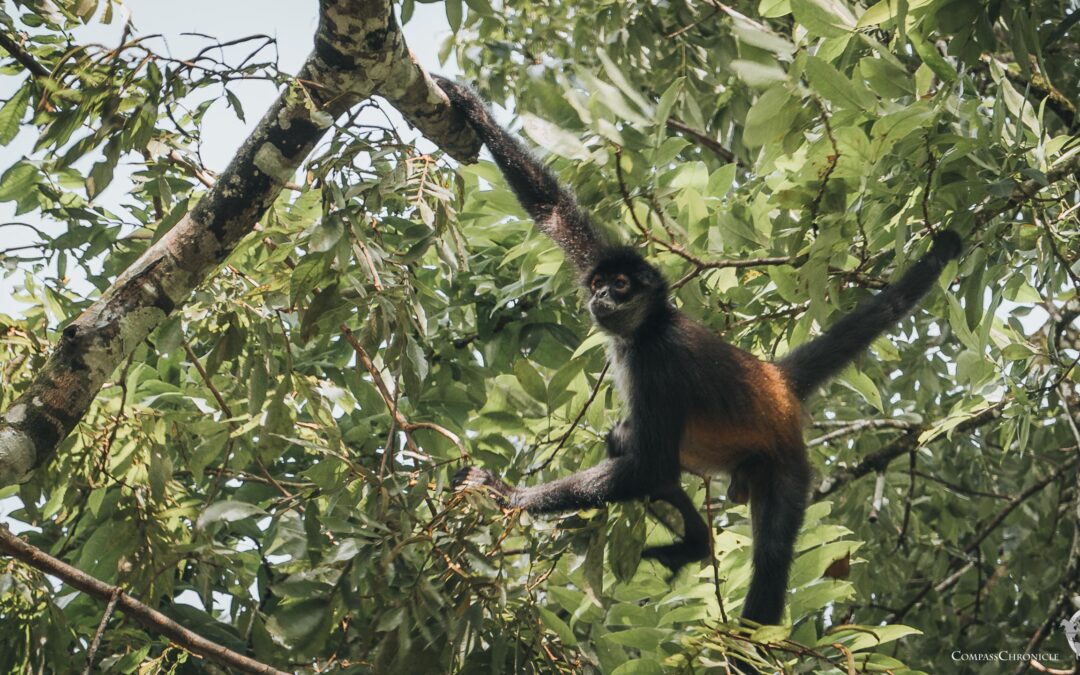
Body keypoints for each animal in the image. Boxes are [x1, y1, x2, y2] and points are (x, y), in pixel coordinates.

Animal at [438, 80, 963, 630]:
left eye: (621, 286)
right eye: (600, 281)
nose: (599, 297)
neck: (647, 329)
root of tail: (776, 380)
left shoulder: (661, 363)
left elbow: (652, 467)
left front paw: (506, 494)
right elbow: (553, 209)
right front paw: (466, 102)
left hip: (786, 466)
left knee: (765, 549)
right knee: (625, 440)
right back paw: (696, 545)